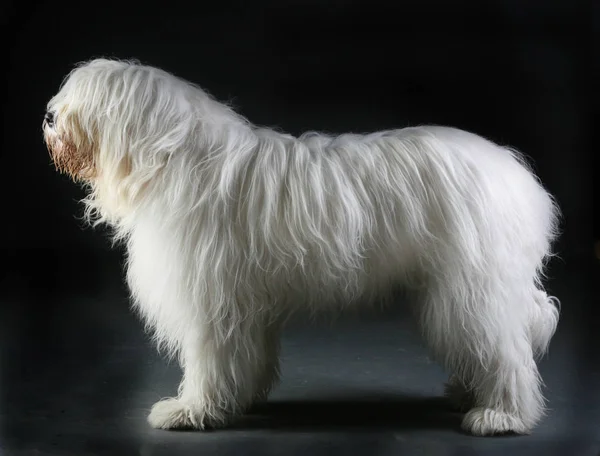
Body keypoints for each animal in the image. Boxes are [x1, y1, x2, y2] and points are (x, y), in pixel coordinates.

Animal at [44, 58, 560, 436]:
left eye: (87, 101)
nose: (49, 116)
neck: (173, 158)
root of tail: (516, 176)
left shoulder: (211, 301)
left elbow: (208, 360)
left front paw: (192, 410)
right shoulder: (244, 307)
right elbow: (246, 358)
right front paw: (240, 399)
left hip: (470, 288)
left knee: (505, 351)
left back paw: (502, 415)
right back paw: (470, 394)